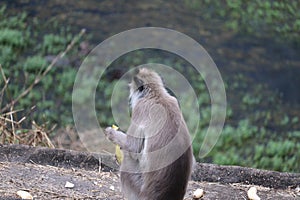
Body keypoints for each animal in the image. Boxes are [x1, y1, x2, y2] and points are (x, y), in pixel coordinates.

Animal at [104, 67, 193, 200]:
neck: (157, 95)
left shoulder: (140, 108)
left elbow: (132, 147)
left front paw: (110, 133)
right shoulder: (174, 100)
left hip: (137, 186)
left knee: (127, 162)